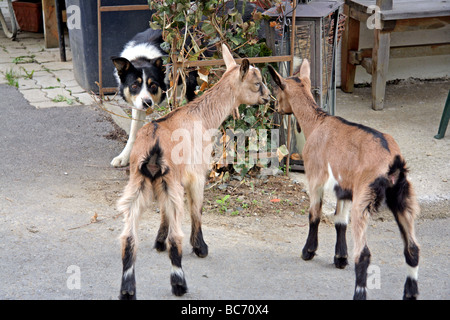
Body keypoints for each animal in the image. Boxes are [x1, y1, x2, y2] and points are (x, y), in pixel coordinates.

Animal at [118, 43, 268, 298]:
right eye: (257, 83)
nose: (269, 98)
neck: (201, 116)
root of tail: (154, 146)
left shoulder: (168, 185)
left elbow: (163, 213)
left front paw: (158, 243)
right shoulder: (196, 175)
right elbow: (197, 210)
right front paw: (200, 247)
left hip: (137, 184)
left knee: (128, 238)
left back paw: (128, 290)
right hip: (169, 185)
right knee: (175, 237)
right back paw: (179, 284)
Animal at [268, 60, 420, 300]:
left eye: (277, 90)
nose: (275, 108)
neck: (317, 123)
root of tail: (393, 162)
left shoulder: (315, 178)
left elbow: (314, 214)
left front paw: (308, 251)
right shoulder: (345, 188)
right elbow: (340, 221)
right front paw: (340, 258)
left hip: (364, 197)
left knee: (364, 254)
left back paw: (359, 294)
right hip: (403, 198)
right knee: (412, 249)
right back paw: (410, 294)